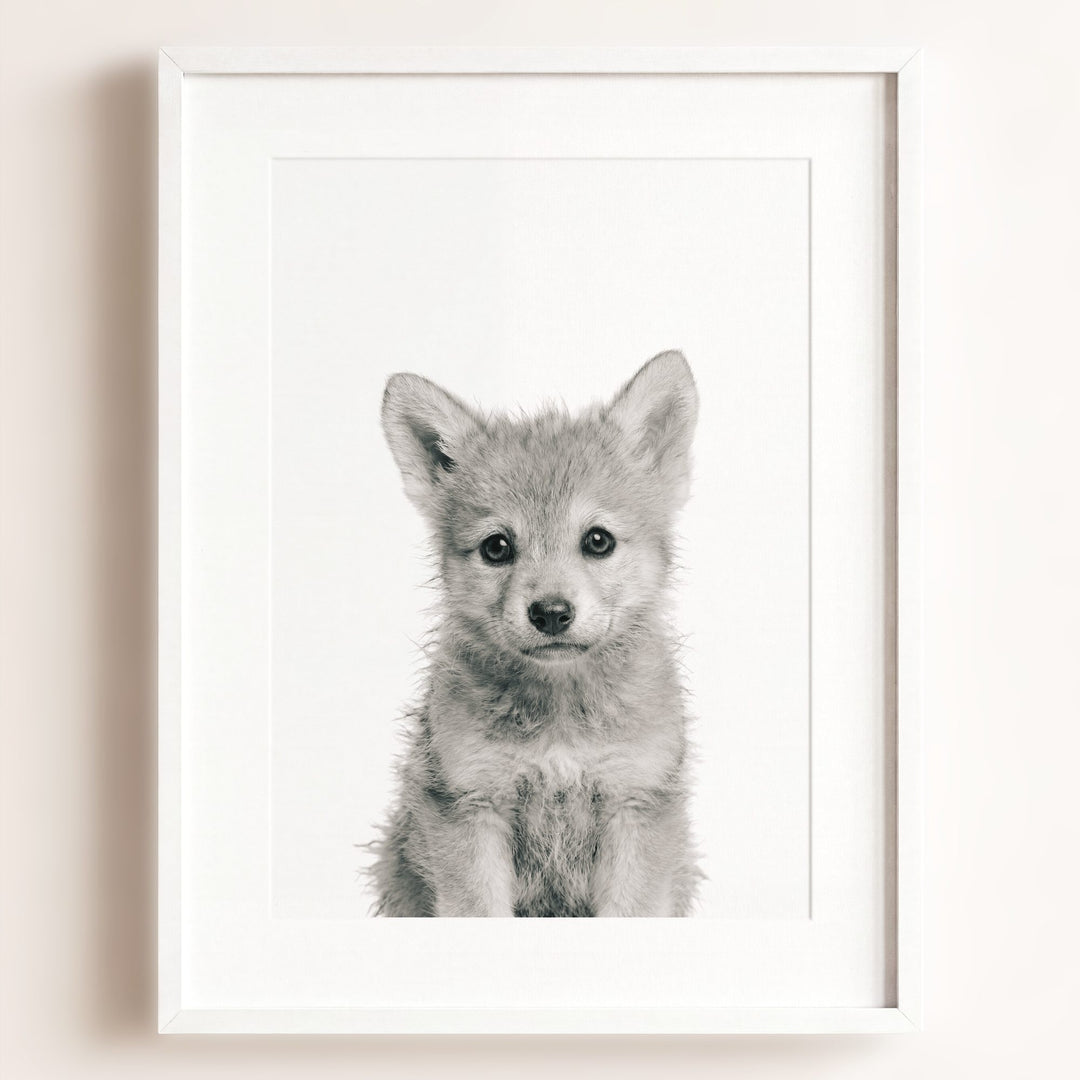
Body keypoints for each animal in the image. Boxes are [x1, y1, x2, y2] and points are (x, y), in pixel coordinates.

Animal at [369, 350, 701, 917]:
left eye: (598, 540)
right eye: (496, 547)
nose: (550, 613)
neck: (560, 722)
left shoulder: (635, 803)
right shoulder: (471, 806)